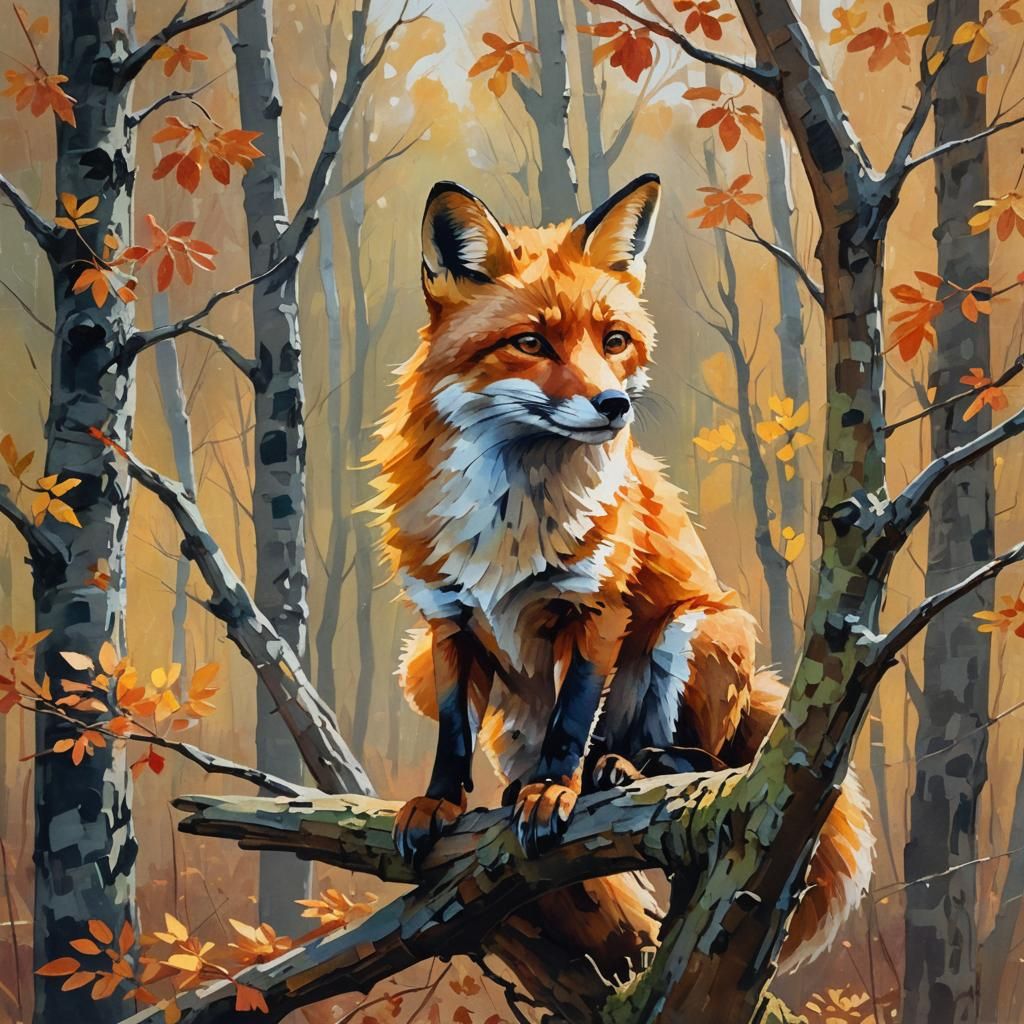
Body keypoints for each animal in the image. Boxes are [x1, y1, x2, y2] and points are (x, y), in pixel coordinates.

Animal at [366, 173, 873, 981]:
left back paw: (625, 769)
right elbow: (451, 732)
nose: (614, 405)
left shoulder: (596, 608)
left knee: (691, 757)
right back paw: (541, 779)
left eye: (613, 341)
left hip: (697, 629)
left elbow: (574, 716)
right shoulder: (445, 619)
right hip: (451, 680)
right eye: (531, 342)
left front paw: (555, 789)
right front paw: (440, 803)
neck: (512, 516)